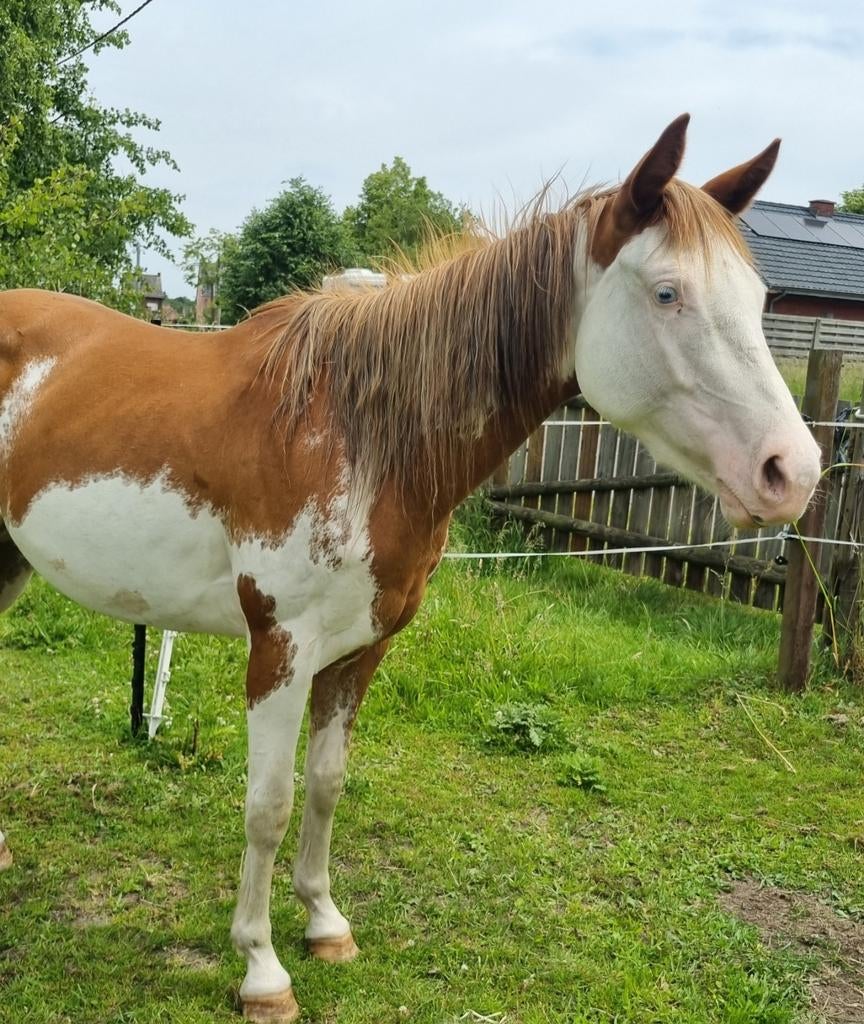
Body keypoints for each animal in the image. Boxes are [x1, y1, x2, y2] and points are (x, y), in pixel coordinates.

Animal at [0, 115, 820, 1021]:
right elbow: (268, 805)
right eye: (668, 293)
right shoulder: (279, 651)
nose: (793, 472)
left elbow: (326, 784)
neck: (361, 433)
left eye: (759, 302)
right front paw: (262, 969)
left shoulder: (362, 647)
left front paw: (324, 924)